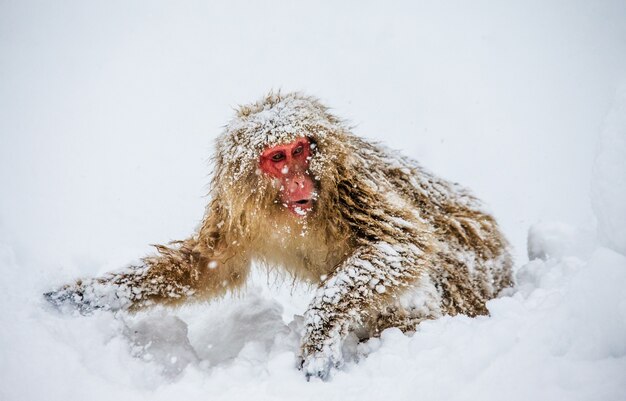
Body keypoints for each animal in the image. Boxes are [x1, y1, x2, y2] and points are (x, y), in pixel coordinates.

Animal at [45, 92, 512, 380]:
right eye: (276, 158)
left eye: (300, 150)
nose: (298, 181)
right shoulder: (236, 209)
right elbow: (209, 266)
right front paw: (91, 295)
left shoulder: (349, 184)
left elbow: (403, 244)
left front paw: (320, 335)